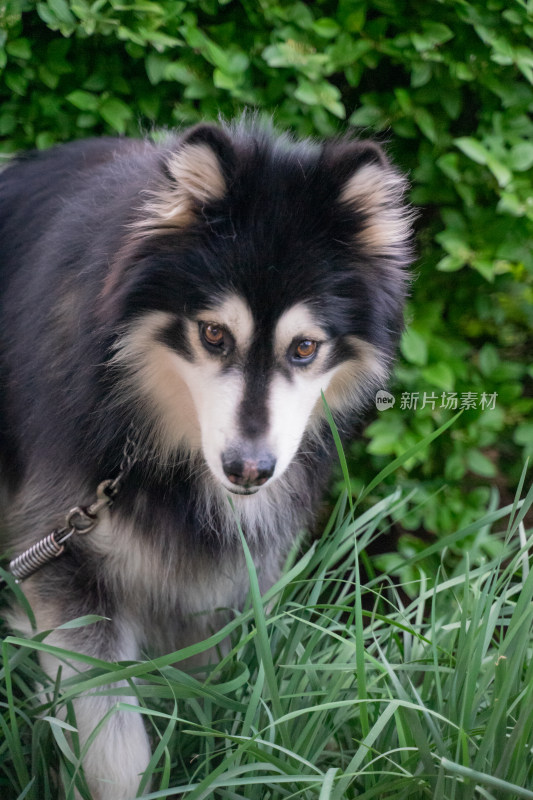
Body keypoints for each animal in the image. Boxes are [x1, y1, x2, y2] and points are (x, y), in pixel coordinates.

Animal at [0, 115, 412, 796]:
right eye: (214, 334)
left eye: (304, 347)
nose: (249, 469)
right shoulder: (66, 566)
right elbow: (113, 741)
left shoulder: (224, 585)